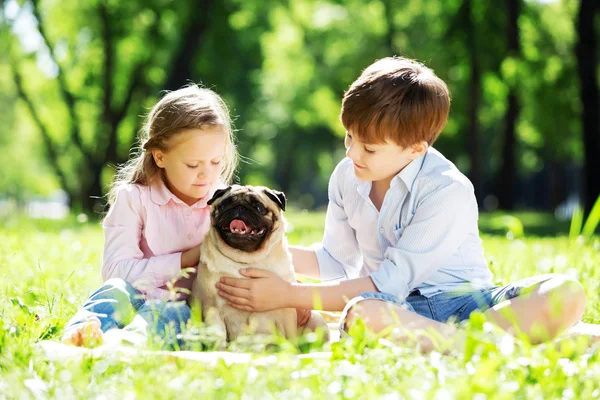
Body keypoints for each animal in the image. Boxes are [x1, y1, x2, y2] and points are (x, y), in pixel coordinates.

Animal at [190, 184, 298, 344]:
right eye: (224, 205)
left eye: (258, 207)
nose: (239, 207)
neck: (246, 261)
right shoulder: (213, 310)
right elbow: (219, 340)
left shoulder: (287, 313)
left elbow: (292, 339)